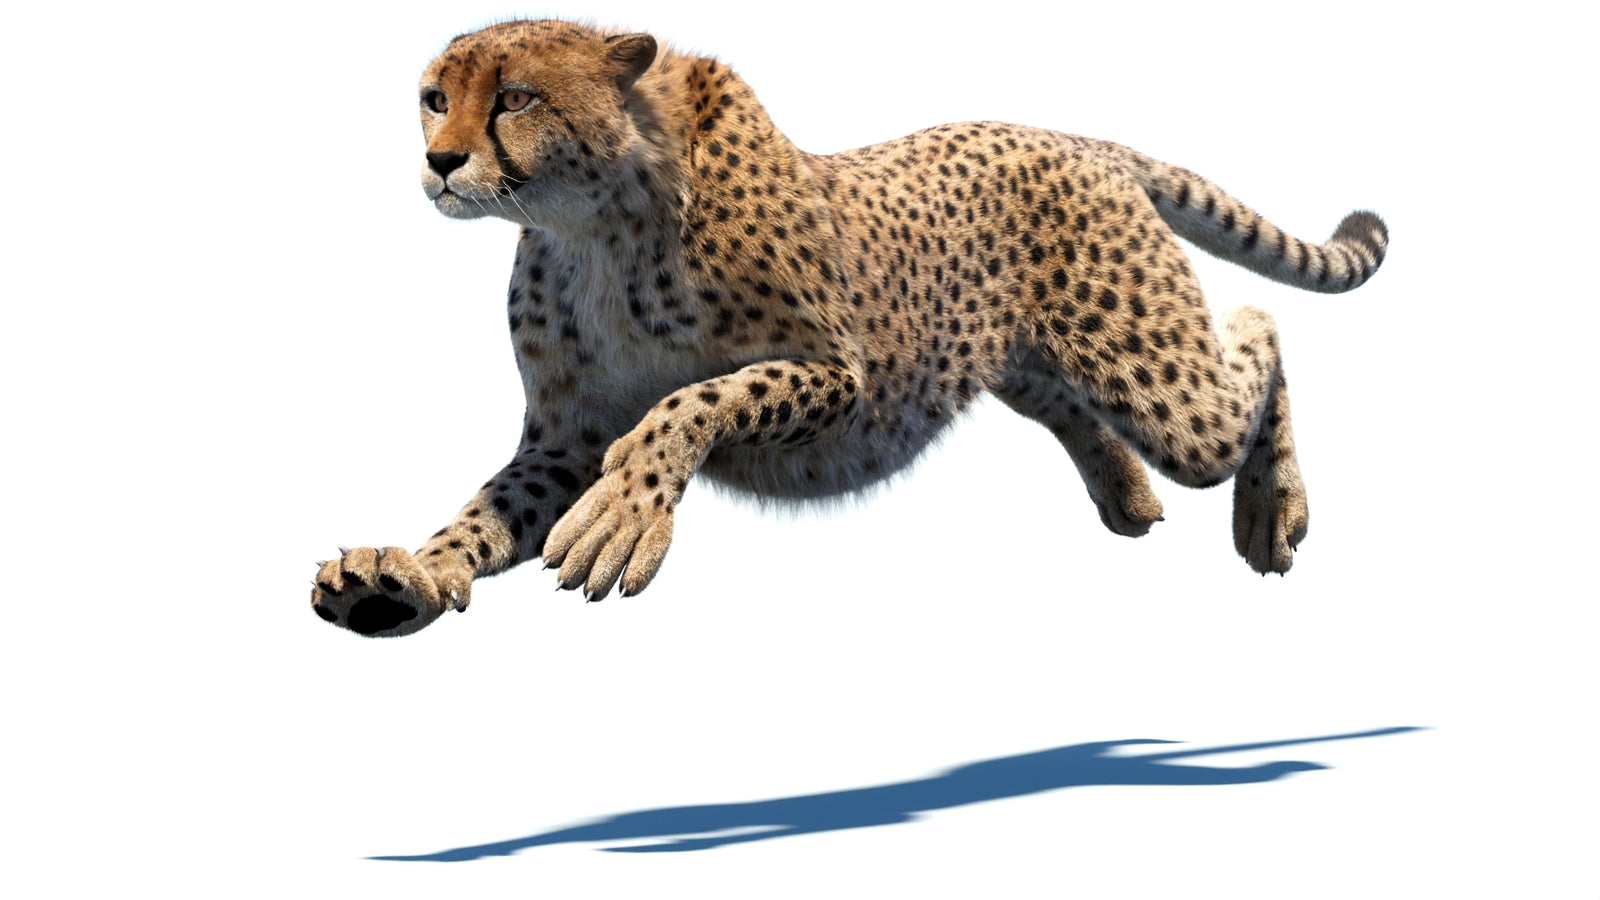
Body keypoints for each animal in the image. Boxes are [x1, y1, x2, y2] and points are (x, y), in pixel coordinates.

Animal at [311, 19, 1388, 638]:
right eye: (433, 98)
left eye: (517, 97)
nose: (441, 161)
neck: (596, 222)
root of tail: (1066, 135)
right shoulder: (562, 438)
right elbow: (482, 515)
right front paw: (400, 579)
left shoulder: (840, 374)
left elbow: (692, 398)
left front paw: (624, 516)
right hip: (1021, 362)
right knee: (1083, 406)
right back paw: (1126, 496)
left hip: (1159, 382)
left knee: (1254, 327)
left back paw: (1270, 511)